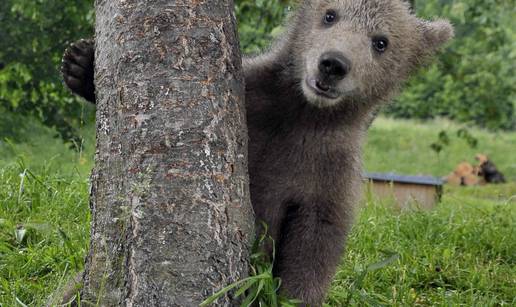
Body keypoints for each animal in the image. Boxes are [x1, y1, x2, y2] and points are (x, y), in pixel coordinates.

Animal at [62, 1, 454, 306]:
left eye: (381, 41)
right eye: (330, 15)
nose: (333, 63)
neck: (304, 114)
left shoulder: (329, 170)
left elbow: (315, 245)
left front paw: (292, 297)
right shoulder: (254, 102)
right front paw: (80, 63)